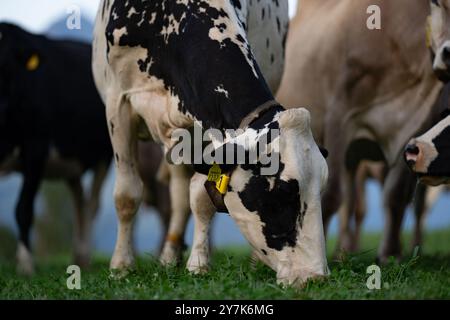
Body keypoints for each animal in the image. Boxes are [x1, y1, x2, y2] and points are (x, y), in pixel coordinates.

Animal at [0, 23, 113, 272]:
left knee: (92, 205)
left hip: (105, 155)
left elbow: (24, 209)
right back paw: (78, 257)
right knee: (79, 202)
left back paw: (85, 257)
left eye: (6, 65)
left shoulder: (36, 147)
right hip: (72, 164)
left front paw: (26, 265)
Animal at [93, 0, 328, 284]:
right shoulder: (118, 102)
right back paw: (167, 257)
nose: (315, 276)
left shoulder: (205, 122)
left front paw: (197, 264)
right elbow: (126, 195)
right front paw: (121, 266)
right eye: (284, 191)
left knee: (181, 195)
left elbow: (200, 196)